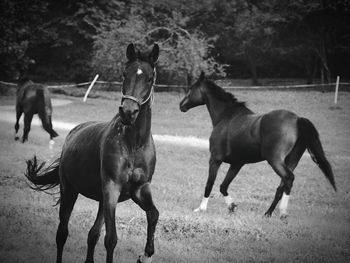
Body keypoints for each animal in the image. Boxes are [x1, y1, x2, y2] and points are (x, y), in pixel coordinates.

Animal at [24, 43, 160, 263]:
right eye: (125, 74)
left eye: (149, 78)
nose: (128, 112)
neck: (134, 145)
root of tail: (72, 135)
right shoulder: (112, 189)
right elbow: (111, 239)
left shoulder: (140, 189)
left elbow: (154, 214)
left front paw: (145, 254)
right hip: (70, 191)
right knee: (62, 233)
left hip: (101, 201)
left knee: (92, 235)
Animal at [180, 71, 336, 219]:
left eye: (191, 88)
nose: (181, 105)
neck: (226, 117)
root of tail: (297, 119)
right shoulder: (237, 164)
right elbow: (223, 186)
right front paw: (232, 207)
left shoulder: (215, 159)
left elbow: (209, 184)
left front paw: (201, 209)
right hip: (291, 161)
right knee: (282, 186)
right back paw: (268, 213)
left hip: (275, 161)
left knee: (289, 178)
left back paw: (282, 213)